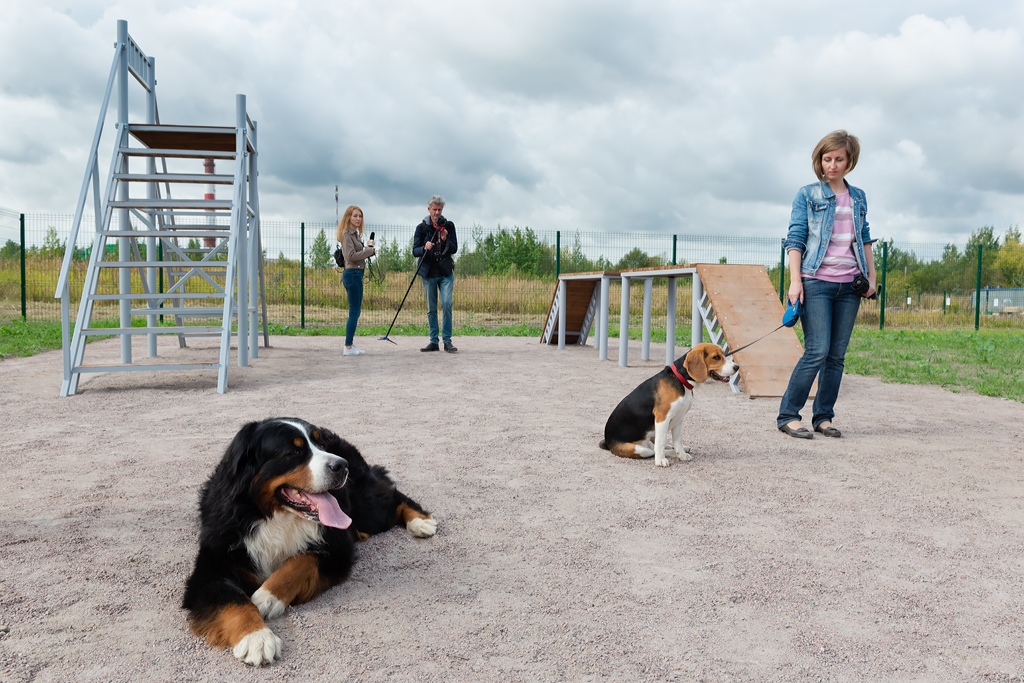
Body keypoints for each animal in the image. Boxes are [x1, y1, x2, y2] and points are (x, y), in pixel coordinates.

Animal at [182, 419, 434, 663]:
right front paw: (256, 638)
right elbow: (233, 600)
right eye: (294, 451)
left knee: (392, 496)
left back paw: (421, 521)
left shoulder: (337, 549)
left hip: (369, 510)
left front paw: (267, 597)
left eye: (320, 444)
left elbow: (300, 563)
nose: (341, 466)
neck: (277, 518)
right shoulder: (213, 565)